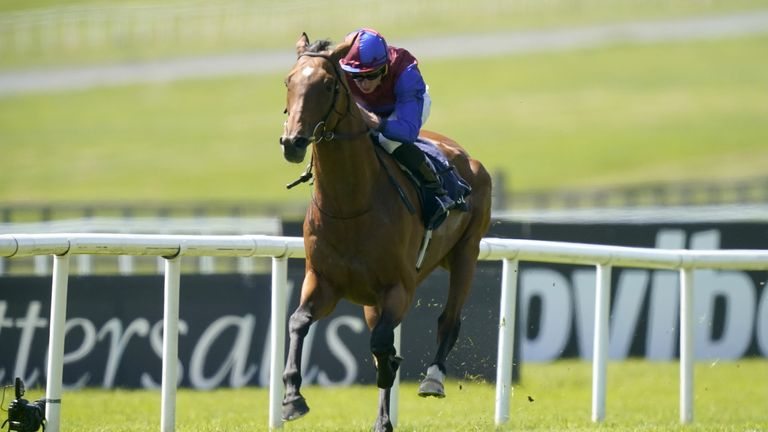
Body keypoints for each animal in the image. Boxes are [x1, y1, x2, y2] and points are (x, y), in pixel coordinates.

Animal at [280, 34, 488, 432]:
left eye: (327, 85)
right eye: (288, 81)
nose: (293, 142)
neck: (350, 206)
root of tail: (465, 156)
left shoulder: (398, 287)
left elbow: (381, 345)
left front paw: (394, 370)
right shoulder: (322, 281)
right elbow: (298, 322)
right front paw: (292, 398)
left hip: (466, 253)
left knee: (449, 320)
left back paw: (432, 379)